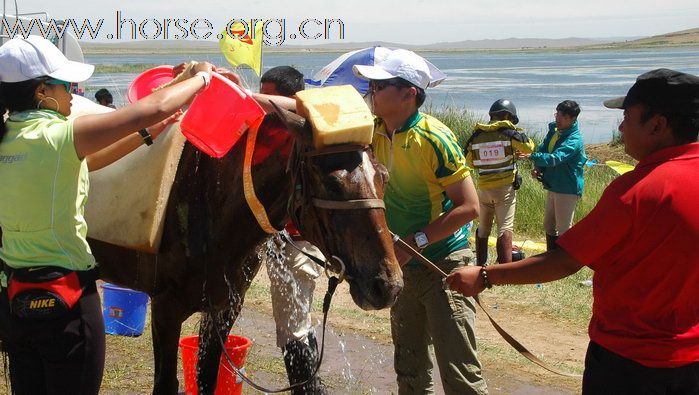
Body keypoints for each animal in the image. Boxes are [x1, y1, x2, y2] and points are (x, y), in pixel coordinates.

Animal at [90, 106, 404, 394]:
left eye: (384, 177)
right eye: (332, 183)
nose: (388, 285)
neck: (207, 197)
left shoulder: (224, 308)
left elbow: (207, 380)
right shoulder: (166, 308)